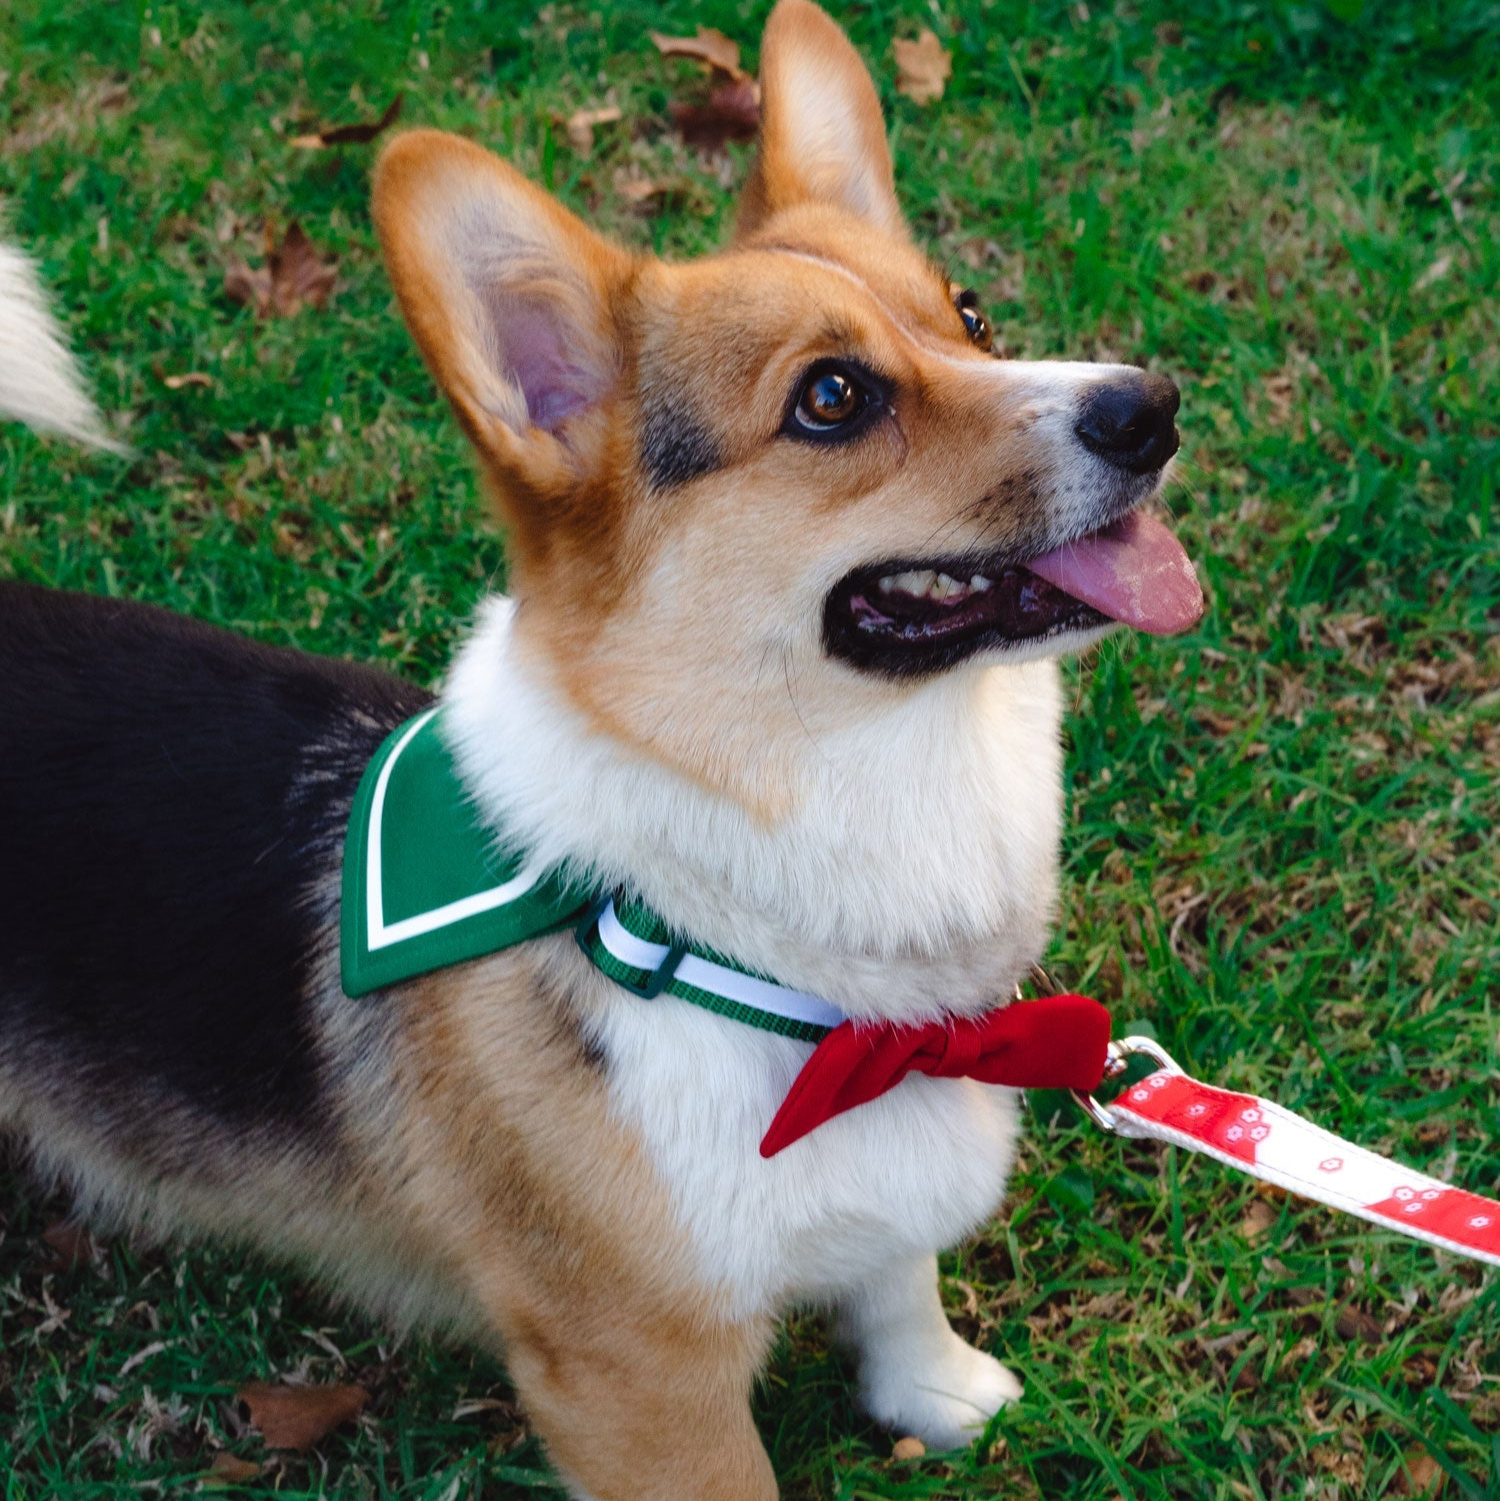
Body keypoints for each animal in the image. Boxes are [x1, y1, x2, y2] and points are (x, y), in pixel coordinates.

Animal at [0, 5, 1201, 1494]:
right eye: (833, 397)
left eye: (969, 314)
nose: (1150, 404)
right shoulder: (642, 1380)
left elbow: (896, 1278)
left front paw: (937, 1391)